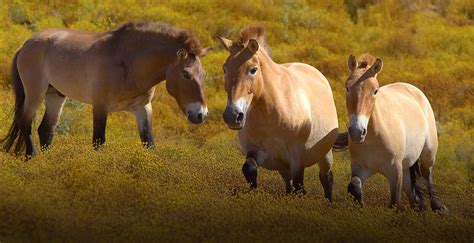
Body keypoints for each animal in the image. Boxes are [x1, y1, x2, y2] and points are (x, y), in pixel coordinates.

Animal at [0, 22, 211, 158]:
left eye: (203, 74)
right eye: (186, 74)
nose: (200, 115)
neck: (127, 61)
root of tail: (26, 44)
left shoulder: (143, 108)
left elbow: (149, 143)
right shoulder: (100, 106)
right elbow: (98, 141)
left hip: (55, 96)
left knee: (46, 129)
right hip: (35, 93)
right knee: (25, 122)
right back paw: (32, 157)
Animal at [217, 25, 338, 199]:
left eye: (253, 70)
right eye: (225, 69)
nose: (233, 116)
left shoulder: (297, 158)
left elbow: (300, 187)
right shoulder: (257, 151)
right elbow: (249, 169)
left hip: (324, 154)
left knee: (326, 179)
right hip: (283, 167)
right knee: (289, 185)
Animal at [342, 54, 446, 212]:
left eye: (375, 90)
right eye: (347, 87)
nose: (357, 132)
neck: (374, 138)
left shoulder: (395, 171)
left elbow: (394, 202)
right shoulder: (359, 168)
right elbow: (354, 186)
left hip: (428, 155)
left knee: (427, 176)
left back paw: (437, 207)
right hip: (406, 167)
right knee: (413, 195)